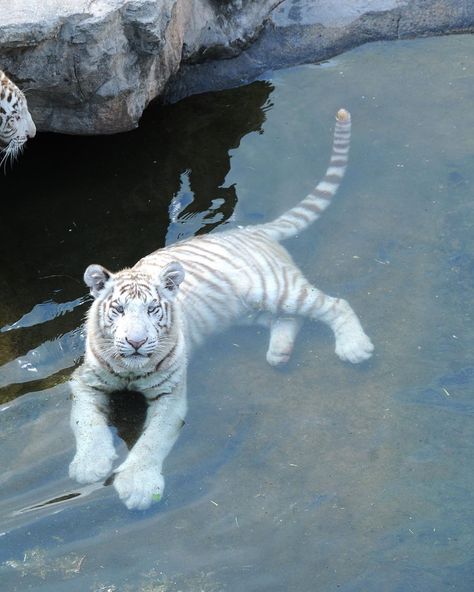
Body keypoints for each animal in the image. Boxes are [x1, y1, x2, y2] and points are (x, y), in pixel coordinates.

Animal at [70, 108, 374, 512]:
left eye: (153, 310)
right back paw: (279, 353)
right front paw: (90, 466)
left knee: (334, 304)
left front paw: (138, 487)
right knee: (287, 319)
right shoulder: (84, 381)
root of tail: (253, 231)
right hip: (249, 308)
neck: (129, 371)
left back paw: (354, 348)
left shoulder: (171, 398)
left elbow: (151, 443)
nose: (135, 342)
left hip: (277, 288)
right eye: (117, 309)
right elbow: (85, 422)